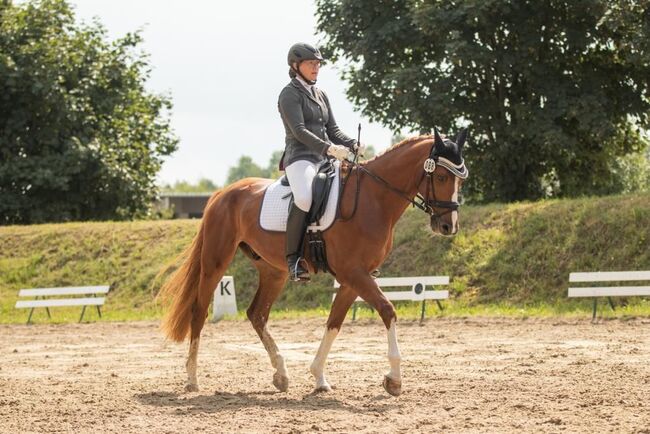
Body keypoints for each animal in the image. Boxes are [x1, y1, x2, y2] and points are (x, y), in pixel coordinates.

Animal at [159, 128, 468, 396]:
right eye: (441, 176)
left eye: (460, 180)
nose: (448, 226)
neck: (373, 199)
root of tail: (223, 193)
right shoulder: (354, 273)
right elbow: (388, 311)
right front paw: (394, 379)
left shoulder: (355, 278)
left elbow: (334, 323)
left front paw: (319, 377)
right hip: (215, 262)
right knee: (199, 312)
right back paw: (192, 378)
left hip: (274, 271)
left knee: (257, 314)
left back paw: (281, 374)